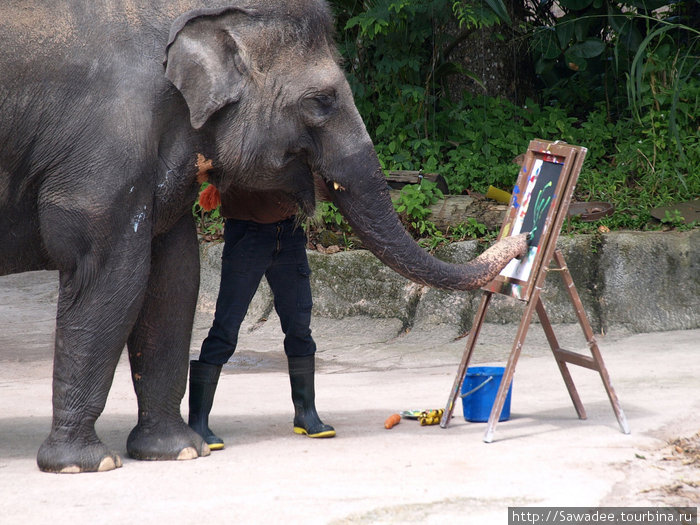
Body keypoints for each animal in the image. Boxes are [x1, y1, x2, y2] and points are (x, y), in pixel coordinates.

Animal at [0, 0, 524, 472]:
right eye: (322, 100)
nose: (520, 242)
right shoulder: (105, 152)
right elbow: (111, 279)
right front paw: (85, 464)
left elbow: (175, 280)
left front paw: (178, 451)